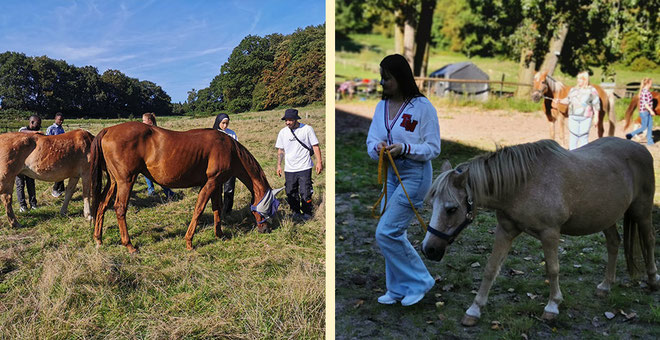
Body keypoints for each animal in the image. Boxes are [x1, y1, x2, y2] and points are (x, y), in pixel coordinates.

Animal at [90, 121, 282, 252]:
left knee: (102, 205)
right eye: (268, 208)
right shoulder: (211, 182)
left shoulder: (216, 184)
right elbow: (199, 209)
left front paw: (219, 235)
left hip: (114, 182)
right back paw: (129, 245)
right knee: (120, 208)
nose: (266, 229)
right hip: (126, 181)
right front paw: (189, 241)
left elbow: (217, 208)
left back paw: (98, 239)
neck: (229, 149)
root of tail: (108, 130)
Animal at [420, 138, 656, 326]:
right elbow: (491, 268)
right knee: (614, 243)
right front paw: (474, 310)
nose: (428, 249)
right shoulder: (505, 230)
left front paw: (552, 306)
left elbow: (552, 269)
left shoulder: (550, 233)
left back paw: (653, 280)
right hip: (606, 217)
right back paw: (605, 286)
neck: (522, 185)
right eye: (431, 204)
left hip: (642, 212)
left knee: (649, 240)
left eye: (451, 209)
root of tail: (640, 148)